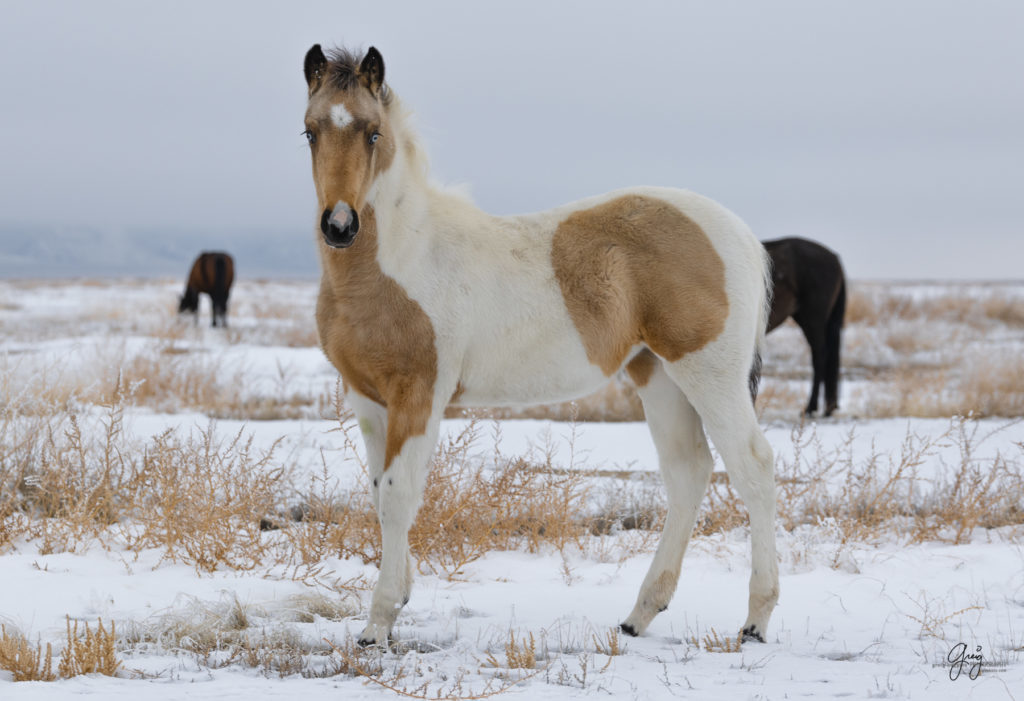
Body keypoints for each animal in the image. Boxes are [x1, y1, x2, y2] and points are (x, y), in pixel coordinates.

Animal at [299, 43, 778, 646]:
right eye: (310, 131)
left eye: (372, 132)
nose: (339, 225)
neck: (401, 260)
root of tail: (741, 233)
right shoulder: (367, 398)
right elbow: (378, 490)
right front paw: (400, 595)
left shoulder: (419, 393)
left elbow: (399, 495)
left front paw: (377, 623)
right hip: (658, 374)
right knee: (688, 472)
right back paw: (639, 615)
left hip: (709, 373)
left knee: (753, 466)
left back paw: (755, 621)